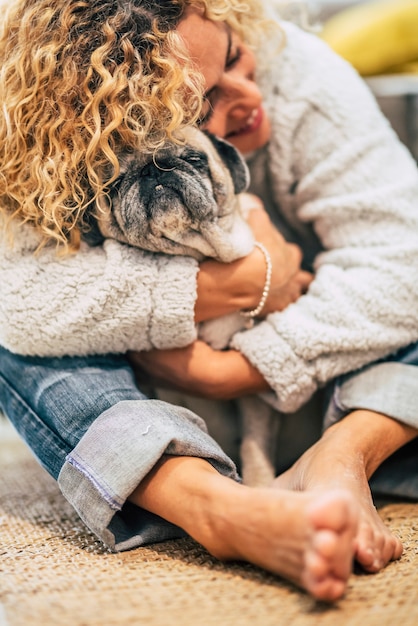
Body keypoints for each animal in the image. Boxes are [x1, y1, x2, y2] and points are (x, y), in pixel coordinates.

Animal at [91, 125, 280, 488]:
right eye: (116, 183)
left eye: (193, 158)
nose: (152, 171)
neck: (192, 253)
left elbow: (255, 444)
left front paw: (261, 484)